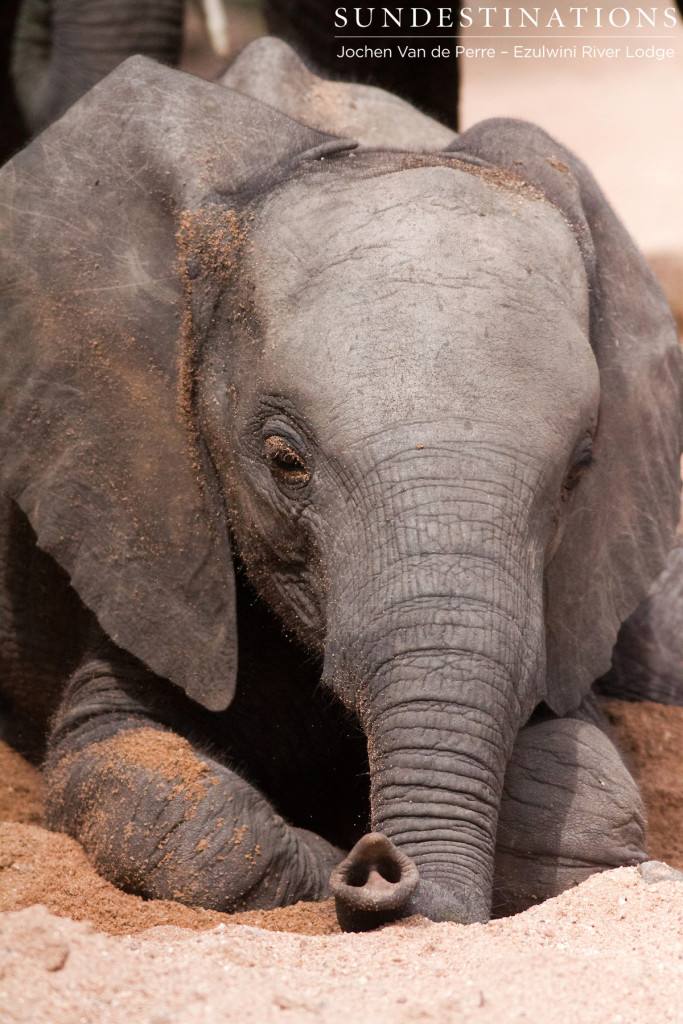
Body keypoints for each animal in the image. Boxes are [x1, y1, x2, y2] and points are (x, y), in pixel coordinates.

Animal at [1, 44, 683, 933]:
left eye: (578, 473)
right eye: (284, 460)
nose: (380, 864)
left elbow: (588, 804)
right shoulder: (142, 512)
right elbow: (140, 773)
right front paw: (322, 857)